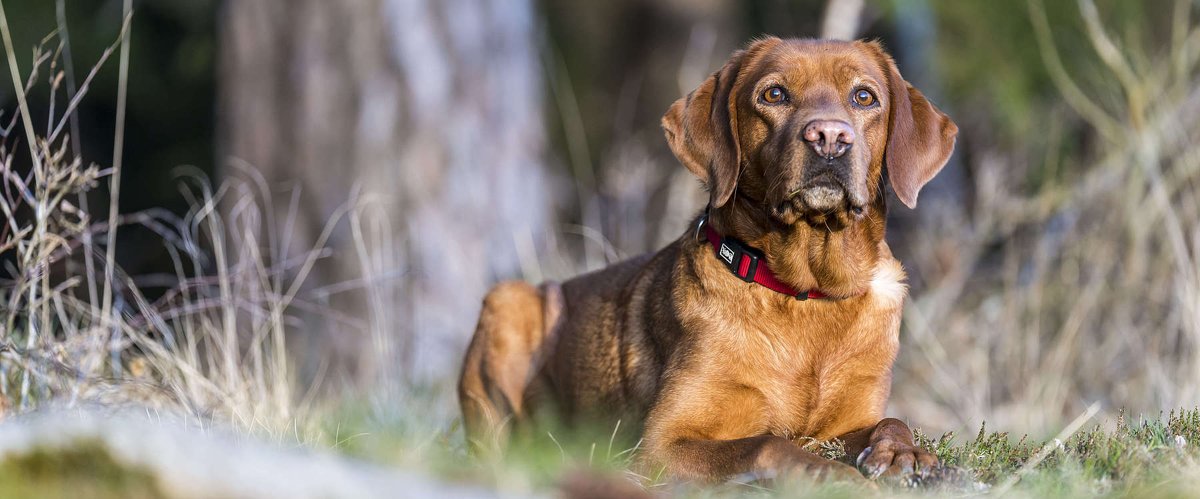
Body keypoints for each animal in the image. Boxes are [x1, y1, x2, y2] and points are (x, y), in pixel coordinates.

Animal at [456, 37, 955, 482]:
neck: (804, 290)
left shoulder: (850, 420)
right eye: (774, 94)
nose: (829, 137)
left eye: (864, 96)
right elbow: (767, 444)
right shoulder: (661, 444)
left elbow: (891, 421)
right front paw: (832, 475)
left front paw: (904, 454)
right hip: (508, 300)